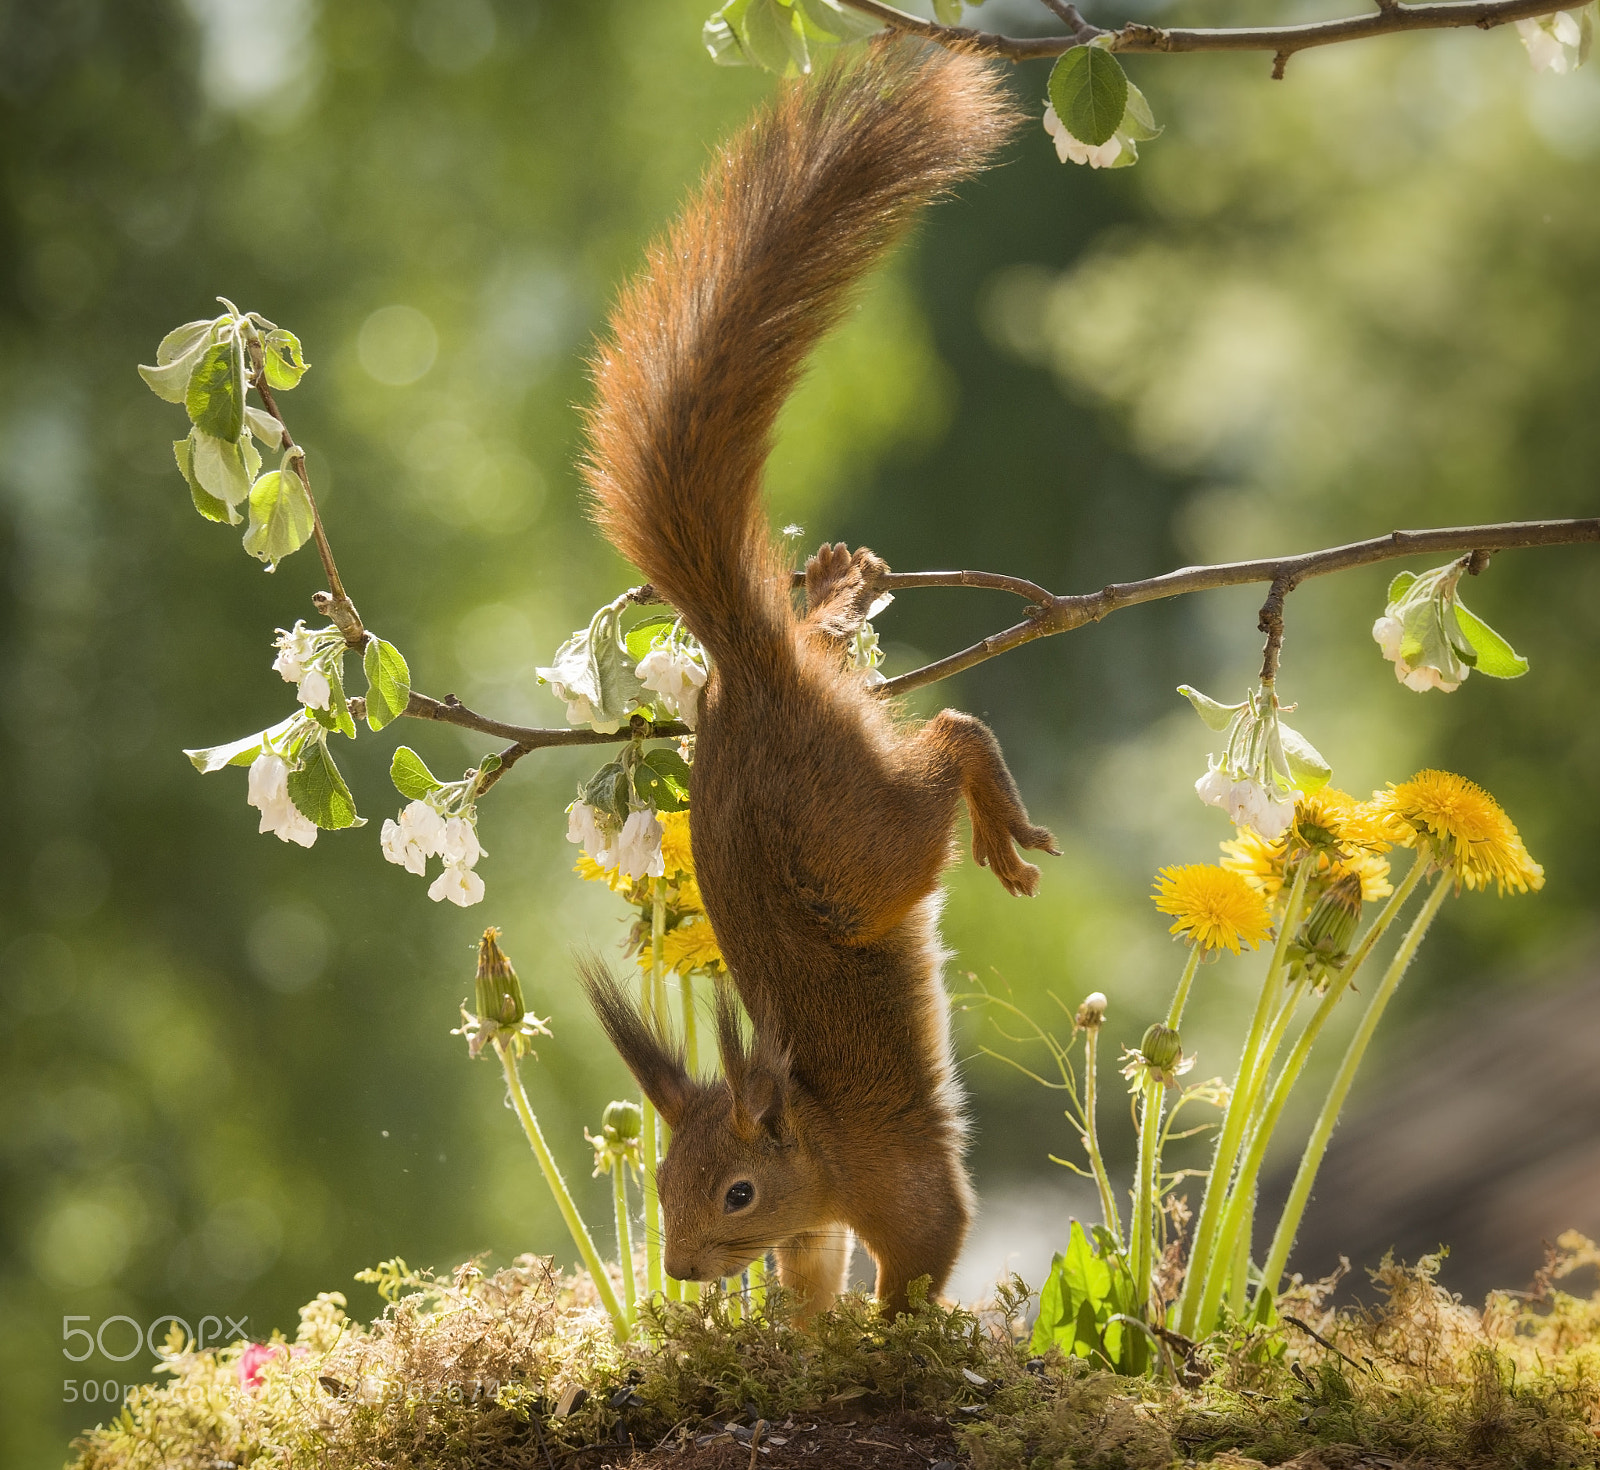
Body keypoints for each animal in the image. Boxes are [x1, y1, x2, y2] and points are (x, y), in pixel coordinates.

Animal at [578, 42, 1055, 1319]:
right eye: (660, 1190)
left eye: (737, 1192)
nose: (683, 1271)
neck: (822, 1147)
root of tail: (745, 678)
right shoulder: (821, 1231)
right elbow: (810, 1278)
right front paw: (805, 1326)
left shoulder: (905, 1188)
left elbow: (924, 1256)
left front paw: (890, 1332)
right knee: (848, 663)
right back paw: (835, 593)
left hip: (860, 844)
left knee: (948, 737)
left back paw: (992, 816)